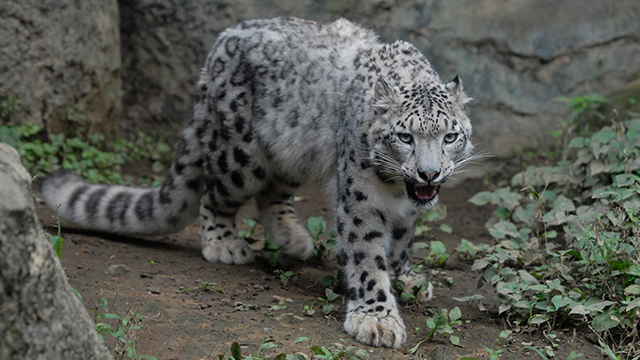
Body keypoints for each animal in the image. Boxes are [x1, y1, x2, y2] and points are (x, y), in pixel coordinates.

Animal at [40, 16, 472, 348]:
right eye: (405, 137)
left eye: (451, 136)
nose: (429, 173)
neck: (397, 189)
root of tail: (216, 49)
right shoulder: (361, 199)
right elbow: (367, 257)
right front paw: (377, 318)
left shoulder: (405, 210)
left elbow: (400, 242)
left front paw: (405, 278)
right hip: (241, 158)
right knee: (215, 196)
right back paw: (225, 244)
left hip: (291, 152)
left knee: (272, 195)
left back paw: (293, 238)